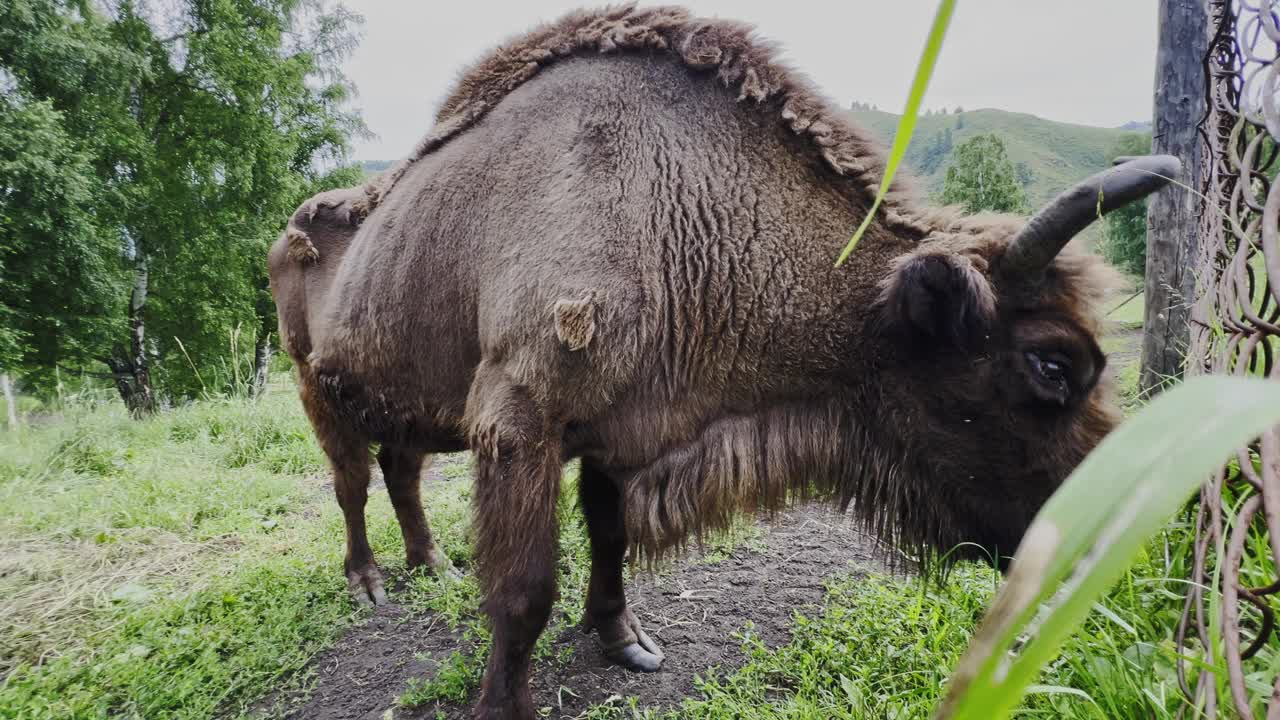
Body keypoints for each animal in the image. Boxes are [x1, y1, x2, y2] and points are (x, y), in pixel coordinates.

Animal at [267, 5, 1177, 717]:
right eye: (1053, 366)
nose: (1124, 529)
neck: (675, 203)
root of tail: (289, 230)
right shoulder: (520, 427)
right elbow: (524, 592)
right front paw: (504, 705)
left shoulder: (615, 433)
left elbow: (608, 536)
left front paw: (626, 642)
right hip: (314, 388)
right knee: (352, 483)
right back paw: (370, 581)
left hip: (398, 399)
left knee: (399, 471)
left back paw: (428, 562)